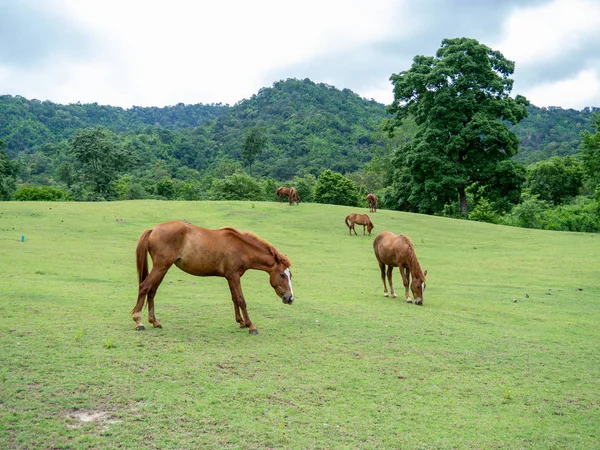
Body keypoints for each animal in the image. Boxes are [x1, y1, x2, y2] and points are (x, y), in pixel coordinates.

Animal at [132, 221, 294, 334]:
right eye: (282, 275)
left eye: (290, 275)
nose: (290, 298)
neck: (241, 248)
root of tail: (153, 229)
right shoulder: (234, 276)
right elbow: (241, 300)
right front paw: (251, 326)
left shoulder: (230, 277)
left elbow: (234, 298)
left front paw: (241, 322)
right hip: (160, 267)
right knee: (144, 287)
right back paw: (138, 321)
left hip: (163, 268)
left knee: (152, 291)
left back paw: (154, 321)